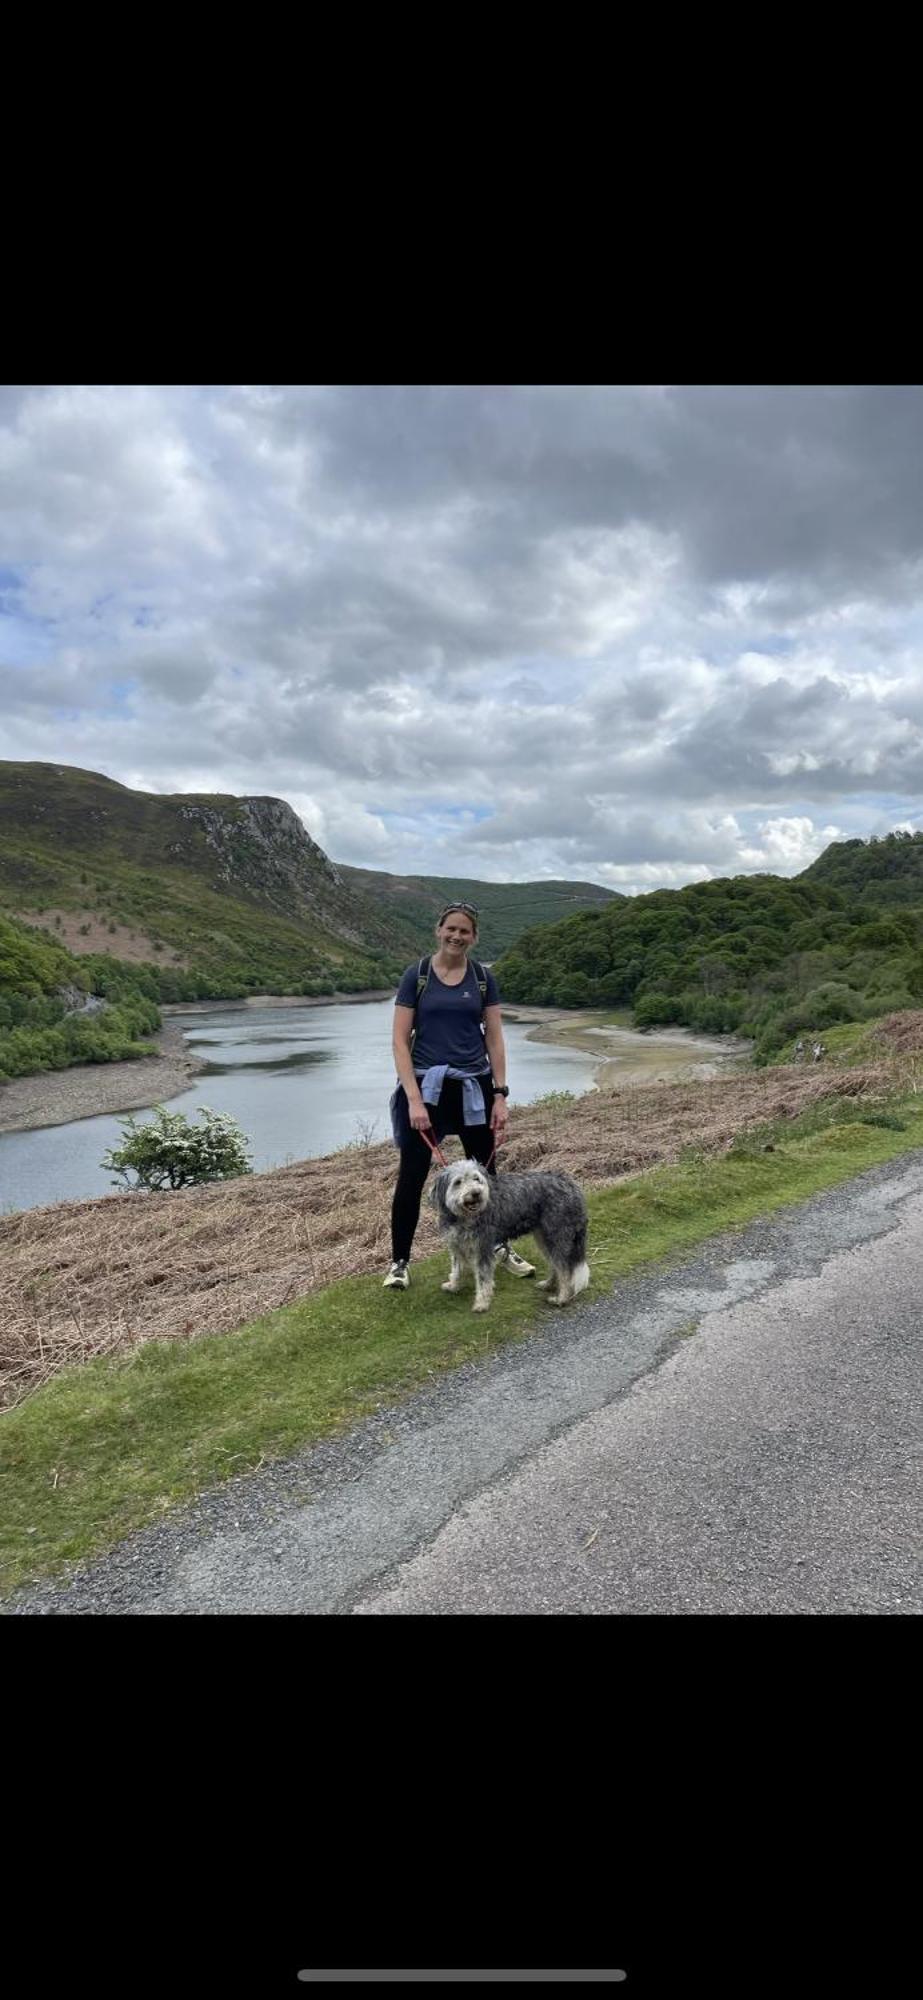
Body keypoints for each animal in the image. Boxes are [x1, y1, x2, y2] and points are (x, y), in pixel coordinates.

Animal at [427, 1160, 591, 1312]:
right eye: (458, 1182)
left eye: (476, 1179)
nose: (476, 1193)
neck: (464, 1217)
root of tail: (571, 1184)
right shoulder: (456, 1246)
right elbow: (456, 1270)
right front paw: (453, 1286)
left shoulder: (482, 1249)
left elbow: (483, 1279)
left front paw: (482, 1303)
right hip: (544, 1238)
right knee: (555, 1265)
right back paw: (549, 1284)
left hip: (557, 1237)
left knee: (565, 1269)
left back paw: (562, 1298)